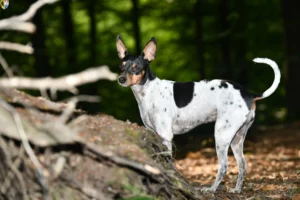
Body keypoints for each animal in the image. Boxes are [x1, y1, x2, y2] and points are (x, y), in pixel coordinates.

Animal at [115, 35, 282, 193]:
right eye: (121, 66)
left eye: (136, 67)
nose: (121, 79)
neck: (148, 91)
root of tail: (248, 93)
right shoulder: (153, 132)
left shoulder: (166, 135)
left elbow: (168, 159)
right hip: (236, 138)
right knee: (242, 165)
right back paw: (237, 189)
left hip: (221, 135)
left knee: (224, 166)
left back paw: (212, 189)